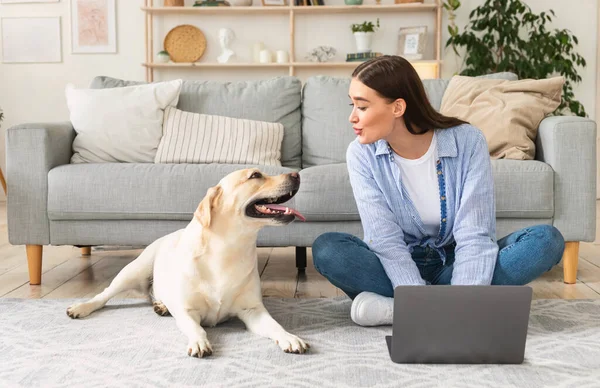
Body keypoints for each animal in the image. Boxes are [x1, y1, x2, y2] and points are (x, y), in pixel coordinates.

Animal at [66, 170, 310, 358]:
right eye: (255, 175)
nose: (297, 174)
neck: (229, 250)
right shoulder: (186, 311)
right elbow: (197, 329)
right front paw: (199, 342)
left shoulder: (252, 310)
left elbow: (275, 325)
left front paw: (289, 337)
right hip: (132, 272)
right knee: (103, 295)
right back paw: (80, 308)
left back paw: (161, 306)